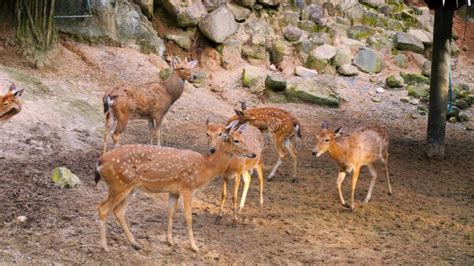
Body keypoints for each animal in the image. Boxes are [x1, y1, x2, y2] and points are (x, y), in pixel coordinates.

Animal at [93, 120, 256, 251]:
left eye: (244, 138)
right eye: (236, 140)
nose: (254, 154)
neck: (206, 167)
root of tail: (100, 162)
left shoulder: (174, 191)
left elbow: (171, 212)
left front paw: (170, 241)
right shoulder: (188, 187)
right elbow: (188, 217)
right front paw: (194, 246)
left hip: (129, 187)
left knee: (119, 211)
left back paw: (135, 244)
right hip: (119, 184)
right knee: (102, 208)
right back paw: (105, 246)